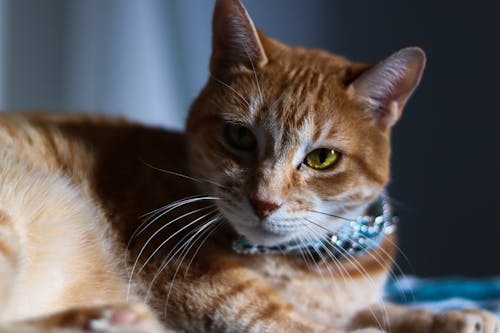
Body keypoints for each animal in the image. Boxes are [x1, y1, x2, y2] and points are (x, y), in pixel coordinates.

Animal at [0, 0, 496, 332]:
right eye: (240, 137)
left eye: (322, 158)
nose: (264, 202)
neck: (311, 263)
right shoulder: (198, 278)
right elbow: (286, 319)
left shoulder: (352, 301)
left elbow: (382, 310)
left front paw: (454, 315)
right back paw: (111, 317)